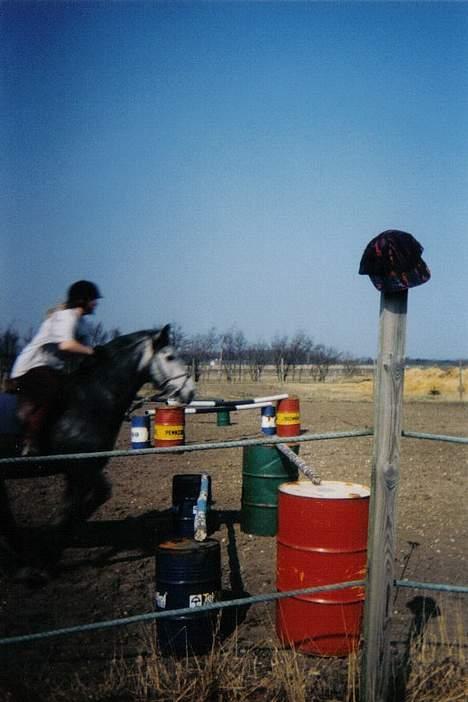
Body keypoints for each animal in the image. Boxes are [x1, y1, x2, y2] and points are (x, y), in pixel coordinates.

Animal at [0, 328, 194, 580]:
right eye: (169, 357)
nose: (190, 391)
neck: (91, 398)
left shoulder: (81, 471)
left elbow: (75, 508)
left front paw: (46, 554)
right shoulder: (82, 467)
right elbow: (80, 505)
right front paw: (44, 557)